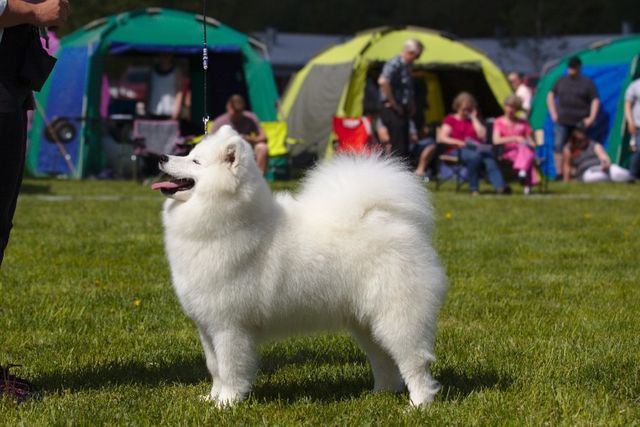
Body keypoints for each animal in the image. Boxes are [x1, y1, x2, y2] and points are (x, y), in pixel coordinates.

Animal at [152, 126, 448, 408]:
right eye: (189, 153)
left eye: (195, 161)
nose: (162, 157)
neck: (229, 221)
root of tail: (390, 219)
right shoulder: (207, 325)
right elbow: (214, 368)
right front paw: (212, 399)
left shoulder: (230, 326)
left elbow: (230, 369)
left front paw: (227, 403)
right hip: (366, 322)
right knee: (384, 360)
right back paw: (380, 394)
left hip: (396, 317)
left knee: (414, 360)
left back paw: (418, 404)